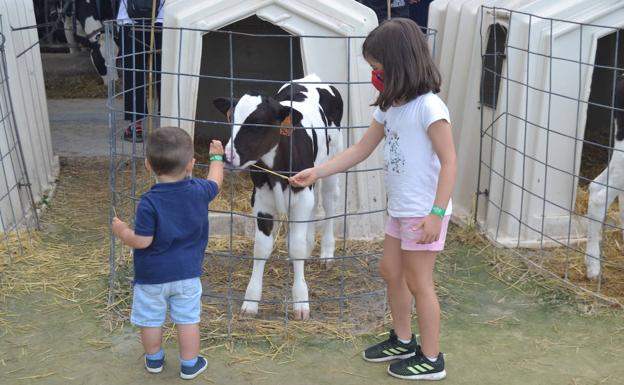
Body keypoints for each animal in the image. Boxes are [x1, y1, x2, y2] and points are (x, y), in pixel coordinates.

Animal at [213, 73, 342, 320]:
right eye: (230, 119)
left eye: (257, 122)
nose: (227, 157)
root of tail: (313, 77)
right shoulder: (262, 201)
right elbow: (262, 248)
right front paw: (251, 301)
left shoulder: (301, 198)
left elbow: (296, 248)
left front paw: (301, 301)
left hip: (334, 159)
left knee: (330, 202)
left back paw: (326, 254)